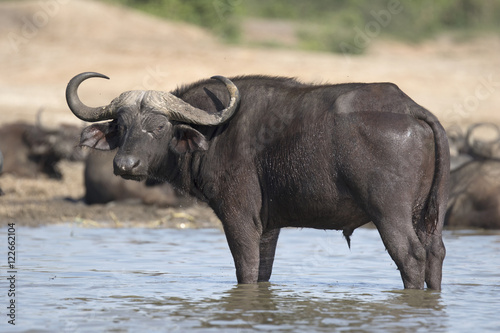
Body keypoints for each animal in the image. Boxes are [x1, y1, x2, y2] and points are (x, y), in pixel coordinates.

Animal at [65, 72, 450, 288]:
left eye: (160, 126)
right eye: (122, 125)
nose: (125, 164)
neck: (215, 131)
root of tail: (411, 109)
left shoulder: (240, 219)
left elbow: (246, 271)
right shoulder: (269, 226)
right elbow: (263, 272)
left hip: (389, 214)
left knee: (410, 256)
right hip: (427, 216)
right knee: (435, 252)